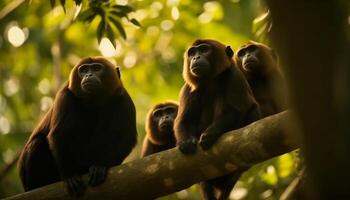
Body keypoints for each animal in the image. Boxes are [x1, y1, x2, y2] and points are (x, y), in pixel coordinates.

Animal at [18, 56, 137, 197]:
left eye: (97, 68)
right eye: (84, 70)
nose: (88, 75)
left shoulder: (124, 98)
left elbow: (126, 138)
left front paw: (101, 166)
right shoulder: (64, 96)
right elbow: (59, 135)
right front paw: (70, 176)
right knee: (36, 143)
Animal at [176, 39, 262, 200]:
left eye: (204, 50)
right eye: (192, 53)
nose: (195, 58)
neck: (210, 81)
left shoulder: (234, 76)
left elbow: (234, 111)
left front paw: (209, 134)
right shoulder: (188, 88)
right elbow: (184, 120)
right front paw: (186, 141)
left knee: (252, 111)